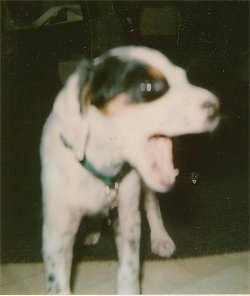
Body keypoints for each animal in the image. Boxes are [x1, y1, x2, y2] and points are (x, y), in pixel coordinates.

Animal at [40, 46, 219, 294]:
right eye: (147, 87)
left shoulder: (128, 217)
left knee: (153, 207)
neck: (102, 165)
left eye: (184, 78)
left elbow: (129, 270)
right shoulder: (57, 230)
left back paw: (161, 238)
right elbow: (58, 282)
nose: (217, 107)